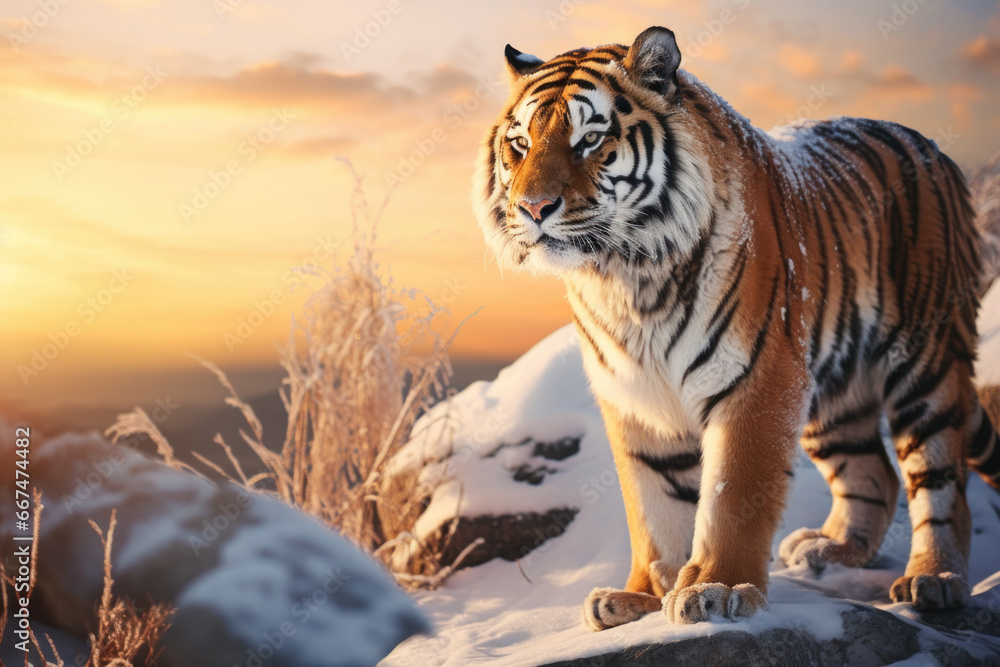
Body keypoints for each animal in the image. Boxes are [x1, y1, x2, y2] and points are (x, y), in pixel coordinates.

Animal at [473, 26, 1000, 629]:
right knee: (874, 475)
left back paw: (934, 579)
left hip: (924, 357)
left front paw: (715, 588)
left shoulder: (760, 377)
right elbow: (653, 509)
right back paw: (830, 550)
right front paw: (636, 597)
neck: (625, 279)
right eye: (519, 144)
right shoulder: (636, 398)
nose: (532, 207)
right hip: (833, 387)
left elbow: (731, 496)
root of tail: (931, 146)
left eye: (589, 139)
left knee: (939, 480)